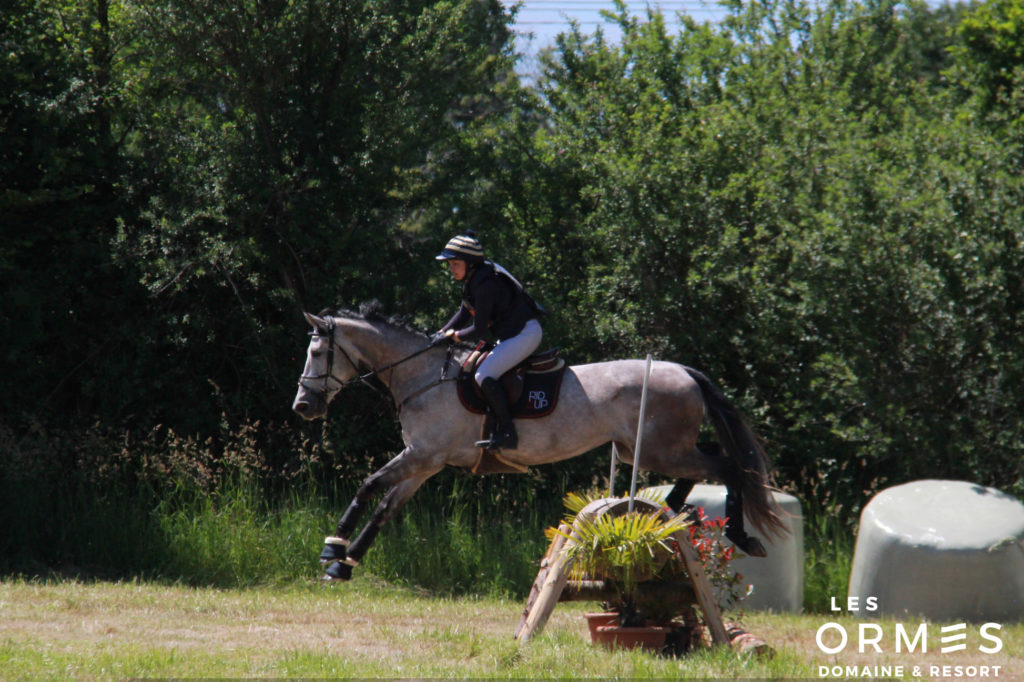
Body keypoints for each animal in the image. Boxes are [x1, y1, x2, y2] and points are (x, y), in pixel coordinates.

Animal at [292, 305, 786, 577]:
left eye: (317, 352)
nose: (303, 406)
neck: (422, 374)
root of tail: (683, 370)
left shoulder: (423, 455)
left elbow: (368, 486)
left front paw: (333, 546)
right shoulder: (424, 461)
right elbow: (384, 507)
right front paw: (344, 564)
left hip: (661, 448)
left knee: (726, 467)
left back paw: (738, 534)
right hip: (649, 449)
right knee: (707, 465)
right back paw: (673, 509)